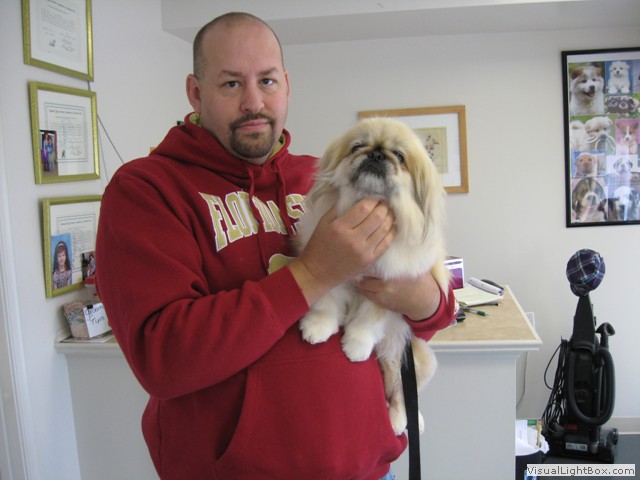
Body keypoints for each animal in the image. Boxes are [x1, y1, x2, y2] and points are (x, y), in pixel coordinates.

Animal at [295, 117, 449, 435]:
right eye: (358, 147)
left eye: (399, 156)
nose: (376, 154)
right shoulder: (332, 269)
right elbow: (326, 303)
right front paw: (318, 328)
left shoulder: (385, 287)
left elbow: (367, 321)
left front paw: (356, 347)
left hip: (415, 358)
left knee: (401, 395)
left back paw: (401, 422)